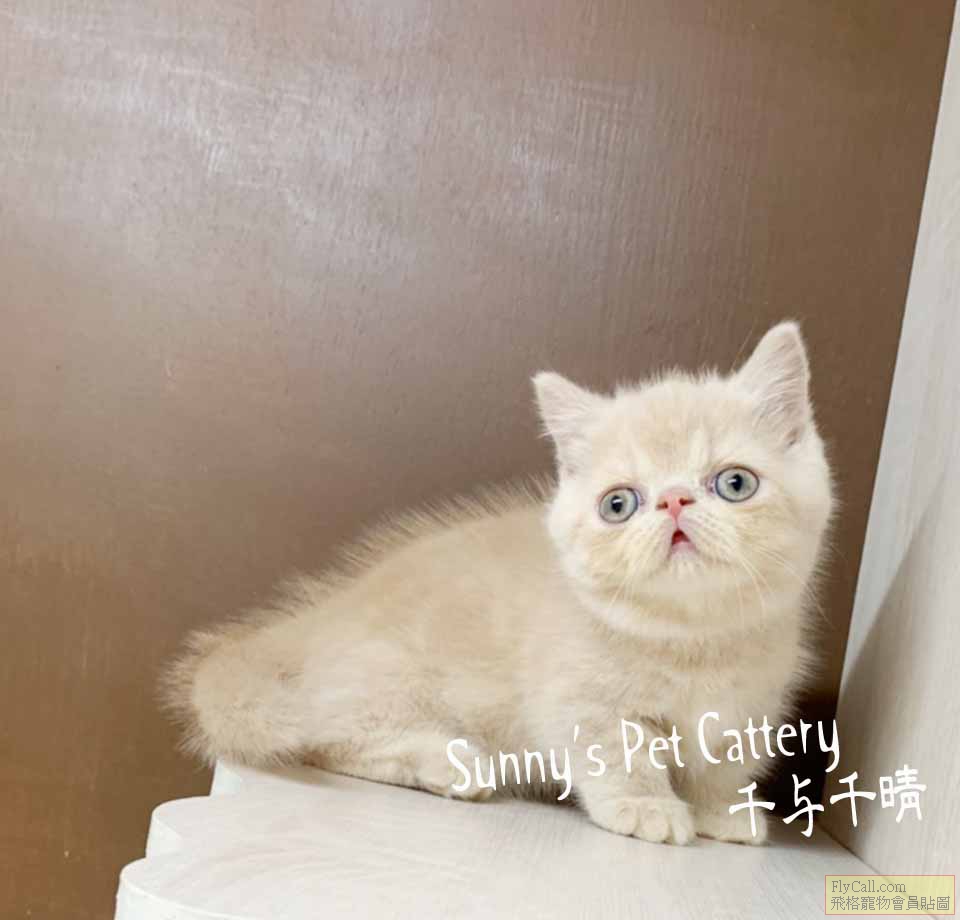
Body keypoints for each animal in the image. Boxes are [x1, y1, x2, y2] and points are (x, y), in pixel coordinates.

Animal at [164, 321, 833, 846]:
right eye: (619, 504)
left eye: (735, 483)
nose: (672, 501)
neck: (695, 642)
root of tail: (313, 622)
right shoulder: (577, 699)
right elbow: (618, 752)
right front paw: (646, 806)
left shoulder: (748, 712)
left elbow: (722, 766)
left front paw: (723, 810)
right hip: (388, 681)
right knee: (325, 736)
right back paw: (447, 764)